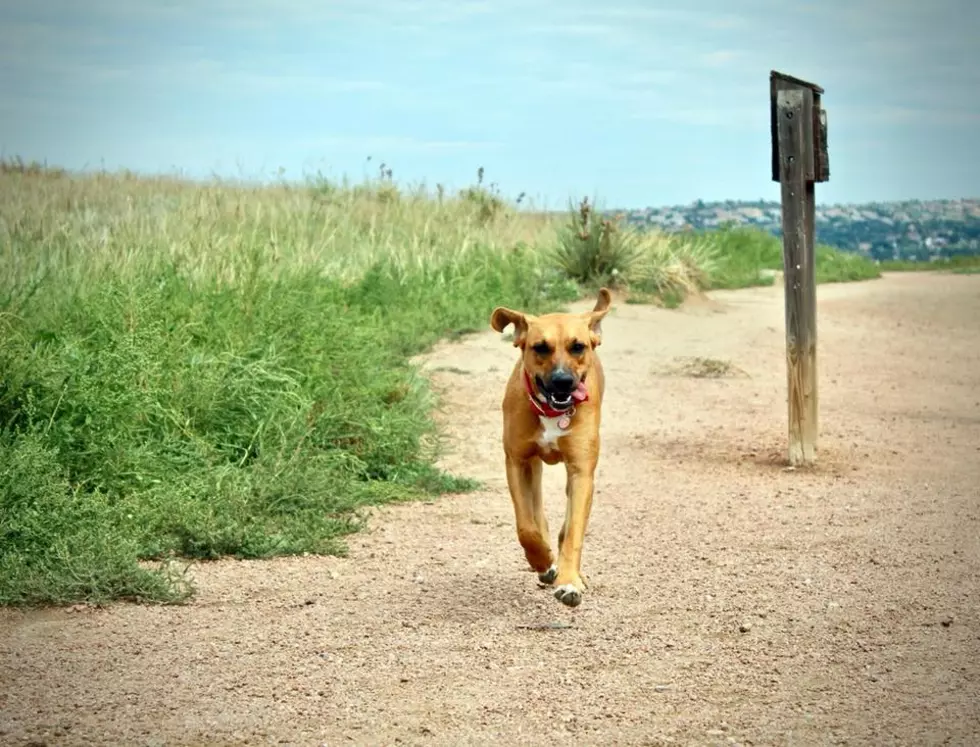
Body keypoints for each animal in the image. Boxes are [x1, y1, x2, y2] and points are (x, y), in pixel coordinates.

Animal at [490, 286, 612, 608]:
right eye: (540, 347)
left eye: (578, 347)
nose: (563, 381)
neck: (552, 413)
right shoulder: (517, 461)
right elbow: (526, 527)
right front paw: (542, 561)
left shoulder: (581, 472)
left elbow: (572, 532)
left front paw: (569, 582)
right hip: (533, 467)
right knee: (537, 512)